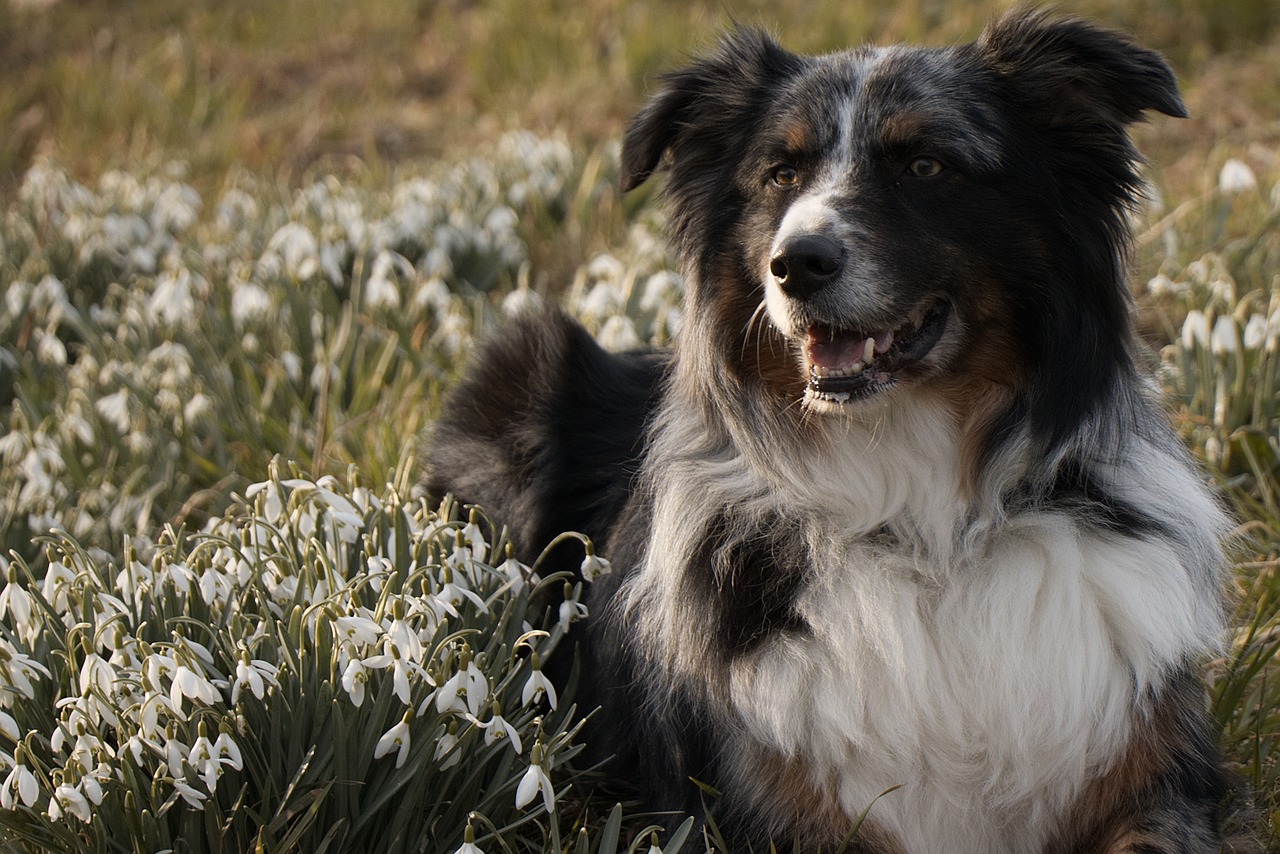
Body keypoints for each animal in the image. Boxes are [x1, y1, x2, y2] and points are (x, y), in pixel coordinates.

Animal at [427, 10, 1239, 850]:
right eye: (781, 174)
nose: (796, 263)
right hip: (524, 364)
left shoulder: (1155, 782)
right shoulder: (759, 812)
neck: (927, 529)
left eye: (925, 164)